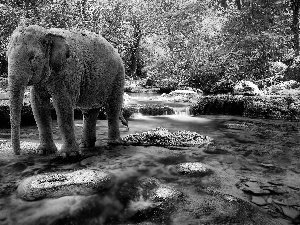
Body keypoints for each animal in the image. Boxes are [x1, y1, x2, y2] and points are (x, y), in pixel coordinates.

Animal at [6, 24, 125, 155]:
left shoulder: (68, 72)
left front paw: (69, 154)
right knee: (90, 110)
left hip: (118, 76)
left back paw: (113, 143)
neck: (47, 33)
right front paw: (44, 151)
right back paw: (85, 145)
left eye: (32, 58)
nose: (18, 153)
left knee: (113, 107)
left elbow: (63, 104)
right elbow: (38, 105)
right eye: (7, 57)